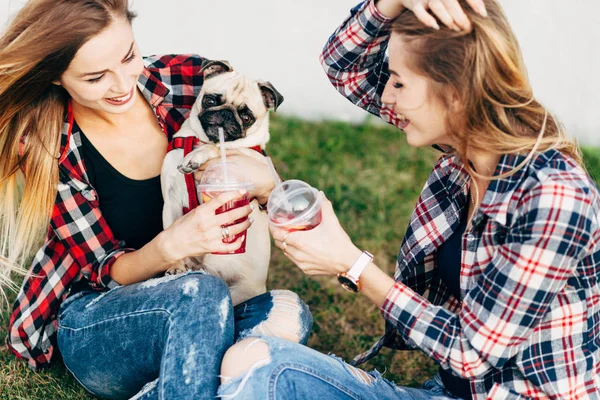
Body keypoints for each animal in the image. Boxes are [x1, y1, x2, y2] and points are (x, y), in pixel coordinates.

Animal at [162, 61, 284, 306]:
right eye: (210, 100)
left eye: (247, 117)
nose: (226, 113)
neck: (199, 140)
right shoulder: (169, 202)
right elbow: (170, 234)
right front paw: (175, 265)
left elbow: (219, 148)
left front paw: (196, 156)